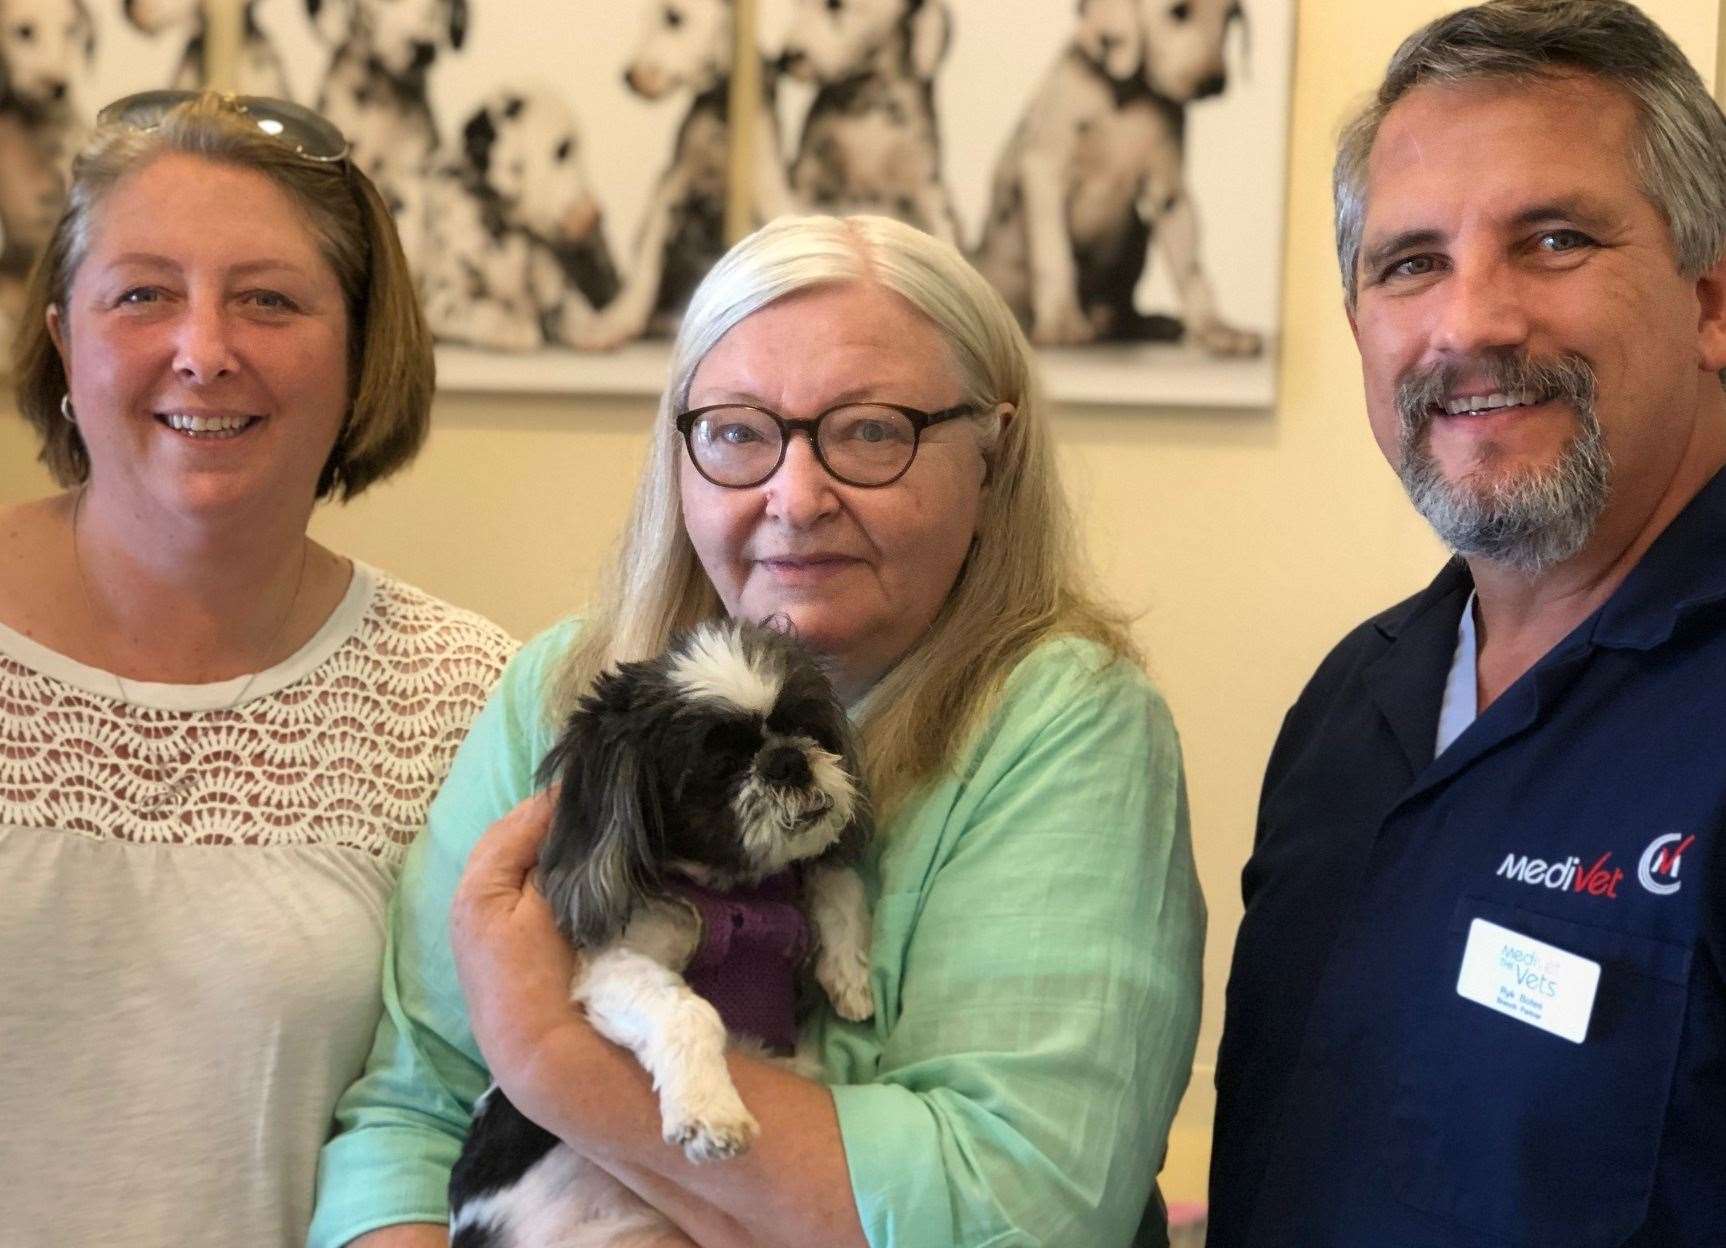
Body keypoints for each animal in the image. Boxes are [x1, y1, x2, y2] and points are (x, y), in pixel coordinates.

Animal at [448, 621, 869, 1248]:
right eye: (718, 763)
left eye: (806, 726)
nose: (788, 761)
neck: (738, 892)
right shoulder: (613, 966)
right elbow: (687, 1010)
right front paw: (709, 1110)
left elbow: (835, 881)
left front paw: (849, 975)